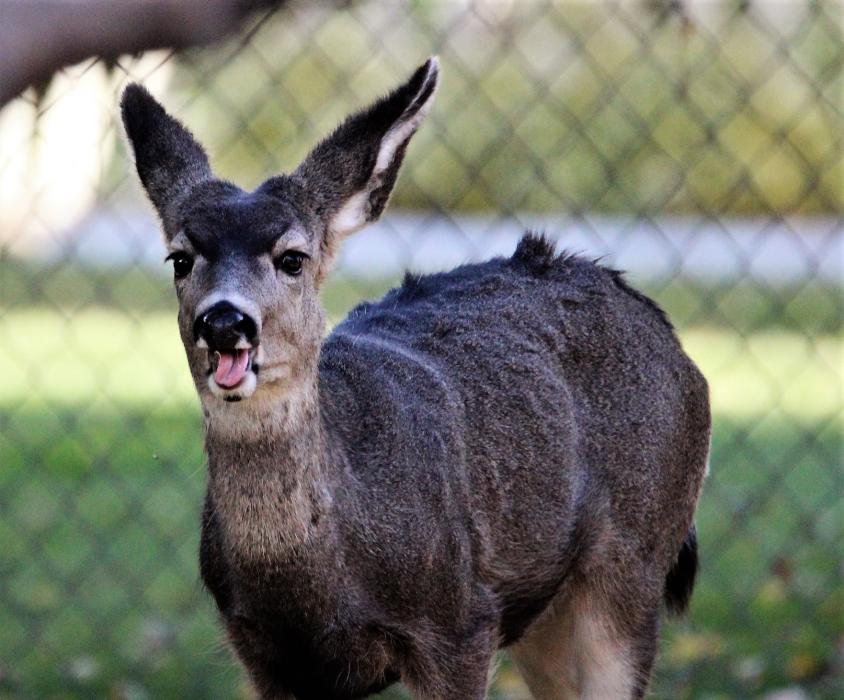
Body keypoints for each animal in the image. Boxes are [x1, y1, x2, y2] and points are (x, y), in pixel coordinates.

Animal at [120, 57, 710, 700]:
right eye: (180, 258)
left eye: (292, 257)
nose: (225, 321)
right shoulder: (261, 652)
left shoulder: (460, 622)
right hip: (543, 607)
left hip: (635, 558)